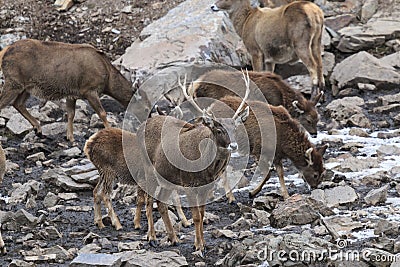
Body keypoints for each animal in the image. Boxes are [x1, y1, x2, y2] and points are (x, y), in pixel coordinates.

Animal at [0, 39, 134, 142]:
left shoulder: (72, 94)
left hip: (26, 87)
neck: (108, 81)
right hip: (13, 81)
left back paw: (38, 129)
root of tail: (3, 52)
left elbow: (71, 114)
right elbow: (102, 113)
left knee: (18, 103)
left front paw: (70, 137)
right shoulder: (89, 89)